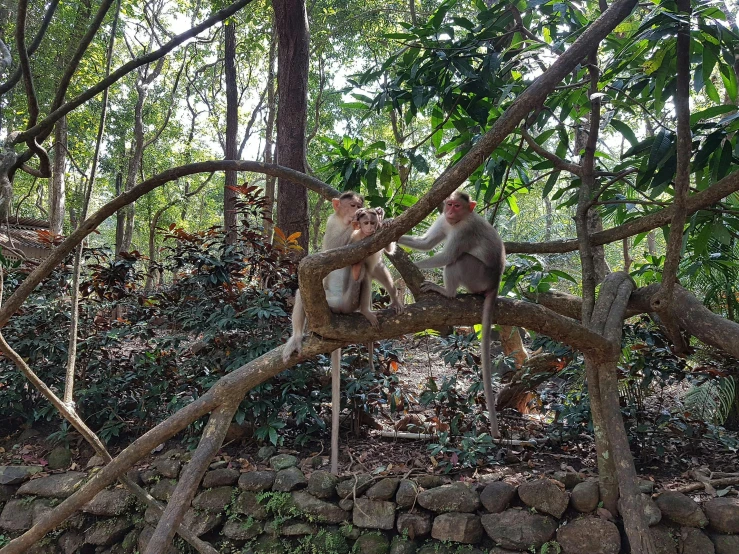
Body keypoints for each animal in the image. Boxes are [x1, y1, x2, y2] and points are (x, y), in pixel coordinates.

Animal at [398, 189, 508, 436]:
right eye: (448, 204)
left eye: (457, 206)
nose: (449, 211)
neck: (458, 221)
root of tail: (496, 280)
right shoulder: (443, 221)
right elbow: (426, 243)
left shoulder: (465, 231)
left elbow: (446, 257)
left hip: (477, 276)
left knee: (459, 260)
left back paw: (446, 292)